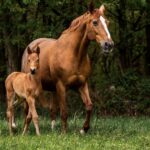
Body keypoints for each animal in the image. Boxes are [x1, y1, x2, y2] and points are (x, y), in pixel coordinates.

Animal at [21, 4, 113, 134]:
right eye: (95, 22)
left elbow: (89, 106)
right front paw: (64, 133)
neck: (73, 54)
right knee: (26, 109)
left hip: (53, 89)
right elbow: (64, 111)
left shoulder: (81, 84)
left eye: (107, 22)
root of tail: (31, 46)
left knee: (52, 109)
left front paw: (84, 129)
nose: (109, 45)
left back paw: (52, 128)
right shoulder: (61, 86)